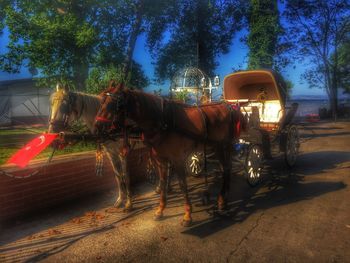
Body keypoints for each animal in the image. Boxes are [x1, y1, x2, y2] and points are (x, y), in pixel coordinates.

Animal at [94, 84, 245, 227]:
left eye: (115, 103)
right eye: (101, 102)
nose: (97, 126)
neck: (163, 121)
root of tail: (227, 106)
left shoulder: (177, 159)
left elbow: (183, 185)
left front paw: (187, 215)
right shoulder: (161, 160)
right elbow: (162, 181)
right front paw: (160, 210)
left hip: (224, 146)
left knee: (226, 169)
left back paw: (222, 200)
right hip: (217, 146)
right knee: (225, 168)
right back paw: (222, 199)